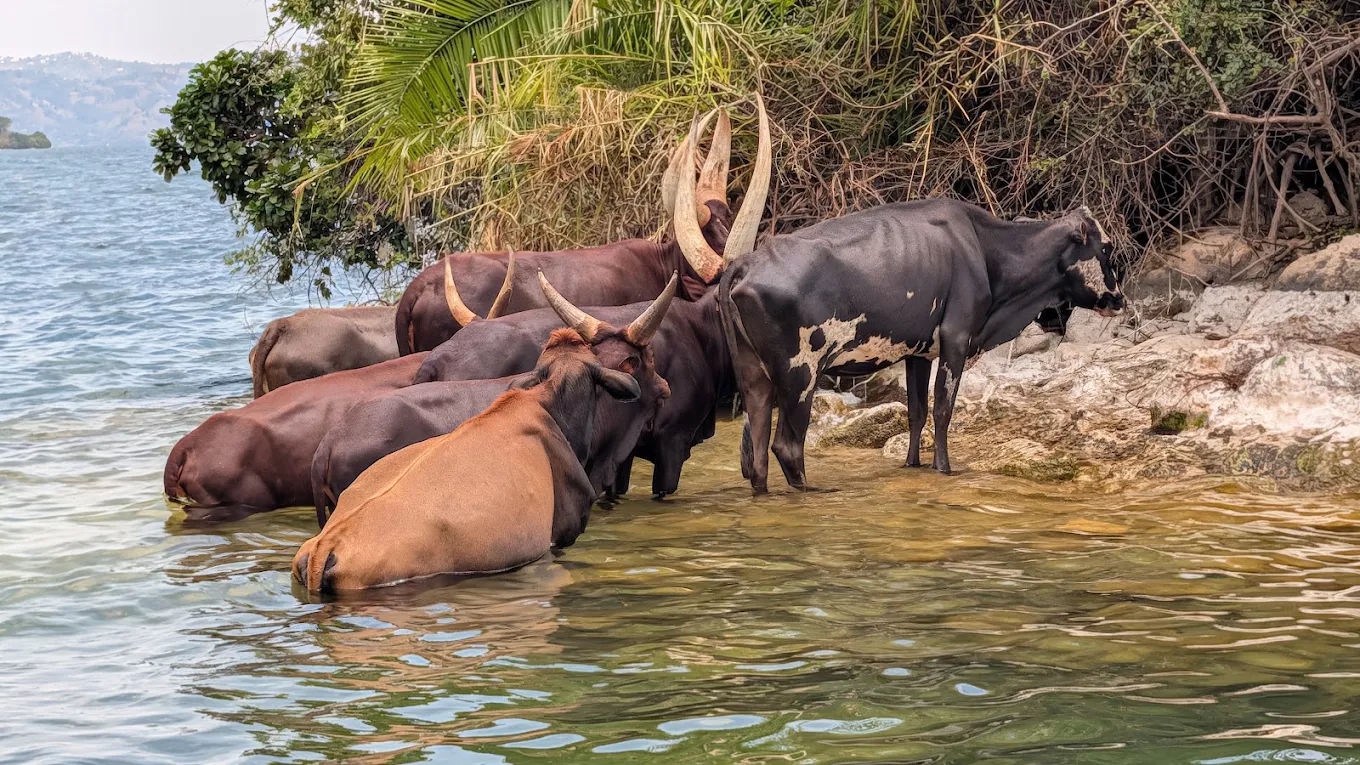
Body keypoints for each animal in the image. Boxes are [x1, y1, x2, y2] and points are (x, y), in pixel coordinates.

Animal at [719, 199, 1124, 491]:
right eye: (1106, 248)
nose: (1119, 299)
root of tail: (746, 261)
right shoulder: (957, 337)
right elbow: (943, 409)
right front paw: (943, 469)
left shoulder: (917, 352)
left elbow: (916, 411)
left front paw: (912, 465)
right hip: (800, 375)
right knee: (787, 447)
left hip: (756, 380)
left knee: (757, 457)